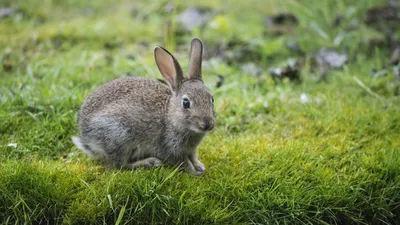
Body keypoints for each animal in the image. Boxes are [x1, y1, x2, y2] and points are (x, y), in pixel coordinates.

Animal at [72, 38, 216, 176]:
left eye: (212, 99)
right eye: (186, 103)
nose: (207, 124)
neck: (170, 116)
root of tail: (87, 139)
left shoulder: (191, 150)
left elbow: (193, 157)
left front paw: (200, 166)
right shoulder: (170, 148)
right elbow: (183, 162)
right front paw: (194, 172)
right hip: (119, 136)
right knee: (119, 165)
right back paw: (150, 162)